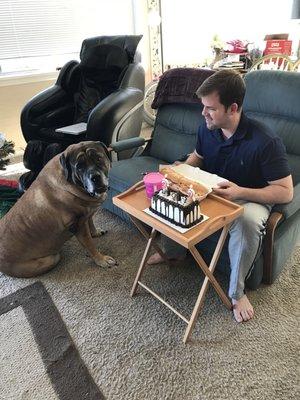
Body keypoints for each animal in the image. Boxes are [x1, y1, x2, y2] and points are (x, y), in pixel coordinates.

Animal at [0, 141, 117, 278]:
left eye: (98, 158)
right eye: (79, 167)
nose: (95, 177)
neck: (73, 183)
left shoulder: (86, 213)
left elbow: (90, 220)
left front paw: (95, 232)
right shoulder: (78, 225)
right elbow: (89, 244)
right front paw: (101, 259)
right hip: (51, 259)